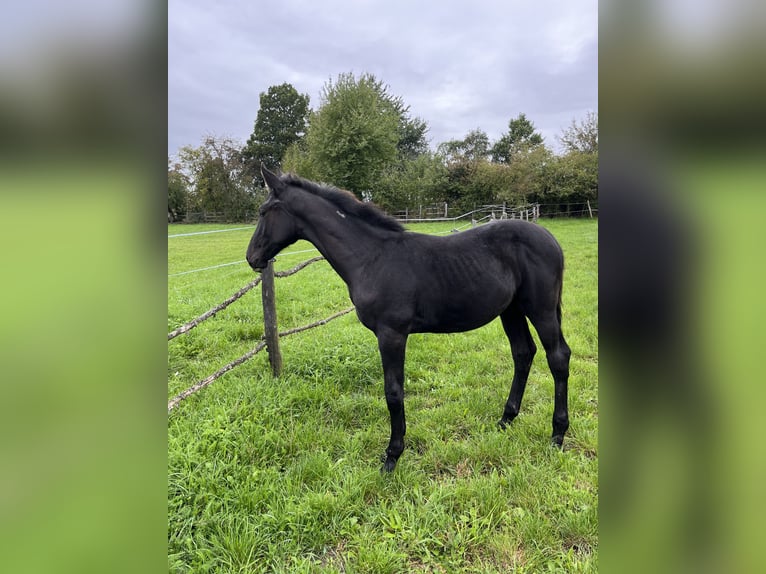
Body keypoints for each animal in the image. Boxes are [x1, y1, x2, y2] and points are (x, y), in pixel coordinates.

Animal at [246, 166, 570, 472]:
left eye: (263, 211)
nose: (252, 258)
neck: (372, 258)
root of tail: (551, 239)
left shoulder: (391, 334)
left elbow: (393, 393)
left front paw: (392, 456)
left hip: (540, 309)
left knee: (558, 357)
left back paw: (557, 435)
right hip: (511, 310)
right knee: (523, 353)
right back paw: (506, 419)